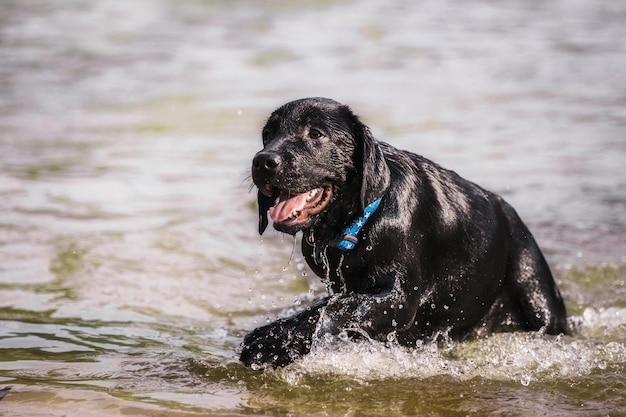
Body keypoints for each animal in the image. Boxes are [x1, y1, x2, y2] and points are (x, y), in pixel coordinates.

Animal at [240, 96, 572, 368]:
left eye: (316, 134)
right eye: (268, 134)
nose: (263, 161)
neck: (362, 221)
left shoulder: (398, 301)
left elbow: (336, 310)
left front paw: (270, 342)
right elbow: (329, 306)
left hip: (537, 292)